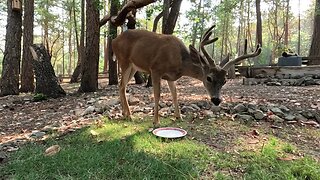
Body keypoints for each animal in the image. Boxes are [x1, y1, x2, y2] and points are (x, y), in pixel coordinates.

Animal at [111, 25, 262, 126]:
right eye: (209, 78)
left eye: (224, 81)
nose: (216, 100)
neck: (180, 61)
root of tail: (114, 40)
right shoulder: (155, 69)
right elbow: (157, 94)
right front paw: (156, 122)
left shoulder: (170, 77)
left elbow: (175, 94)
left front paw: (179, 117)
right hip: (124, 61)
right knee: (122, 85)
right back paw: (129, 115)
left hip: (133, 66)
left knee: (122, 86)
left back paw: (125, 113)